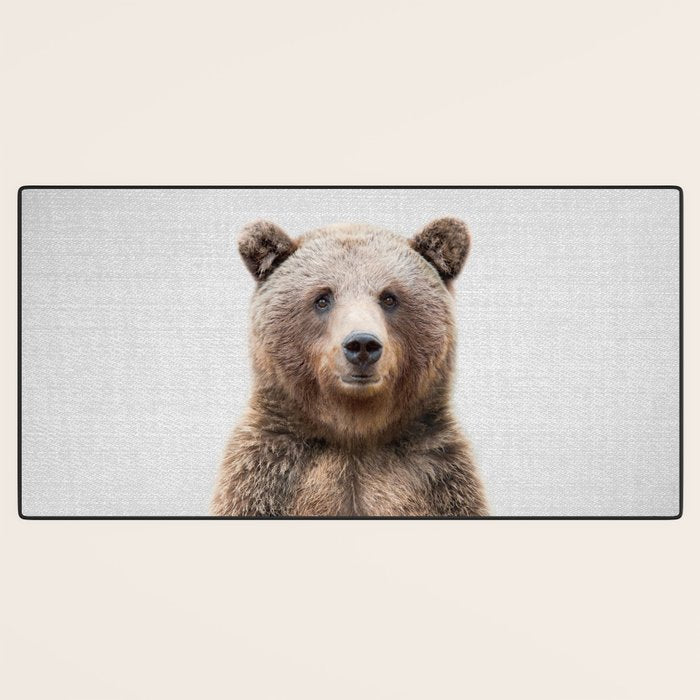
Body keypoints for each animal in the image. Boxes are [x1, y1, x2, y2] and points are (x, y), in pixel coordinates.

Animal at [210, 217, 488, 516]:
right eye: (322, 298)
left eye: (389, 297)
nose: (362, 344)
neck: (354, 433)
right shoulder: (267, 476)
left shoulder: (439, 479)